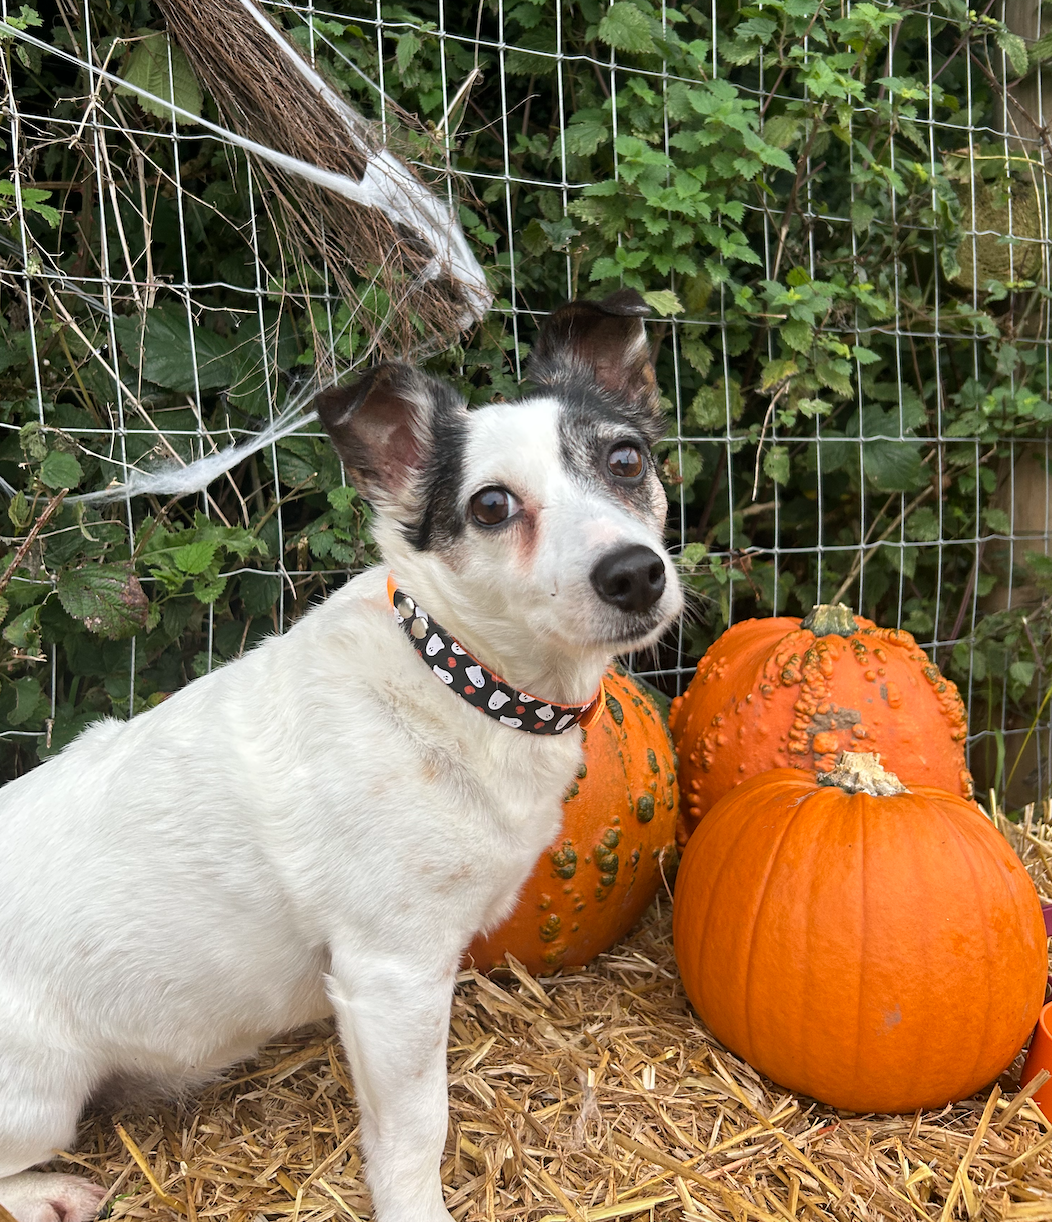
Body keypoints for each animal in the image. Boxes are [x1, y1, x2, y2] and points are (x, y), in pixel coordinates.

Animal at [0, 288, 679, 1222]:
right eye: (491, 506)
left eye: (625, 459)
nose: (635, 574)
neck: (456, 678)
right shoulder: (390, 976)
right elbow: (416, 1130)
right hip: (42, 1095)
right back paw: (51, 1193)